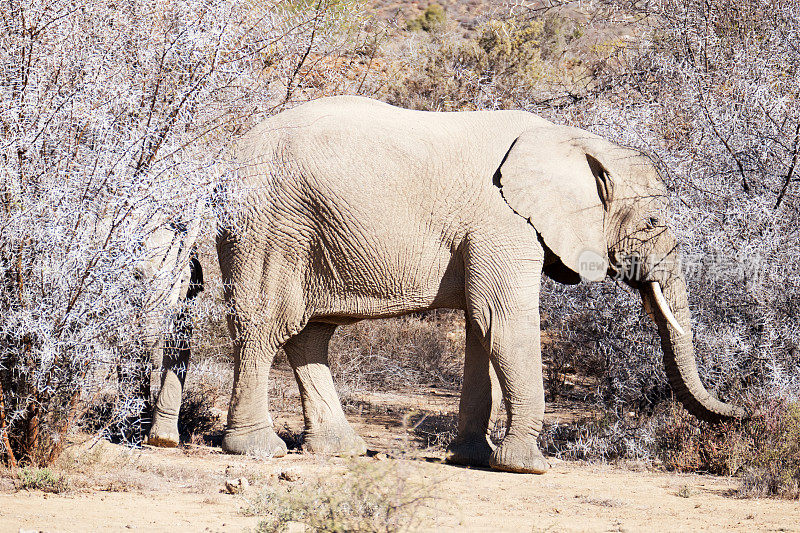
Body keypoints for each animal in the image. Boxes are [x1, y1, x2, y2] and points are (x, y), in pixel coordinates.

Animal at [214, 95, 744, 474]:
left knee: (311, 333)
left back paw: (340, 450)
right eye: (652, 222)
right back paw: (258, 449)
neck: (568, 140)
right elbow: (505, 321)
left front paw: (470, 457)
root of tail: (229, 154)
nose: (744, 413)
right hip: (268, 225)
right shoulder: (503, 221)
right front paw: (528, 467)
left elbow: (480, 327)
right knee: (265, 326)